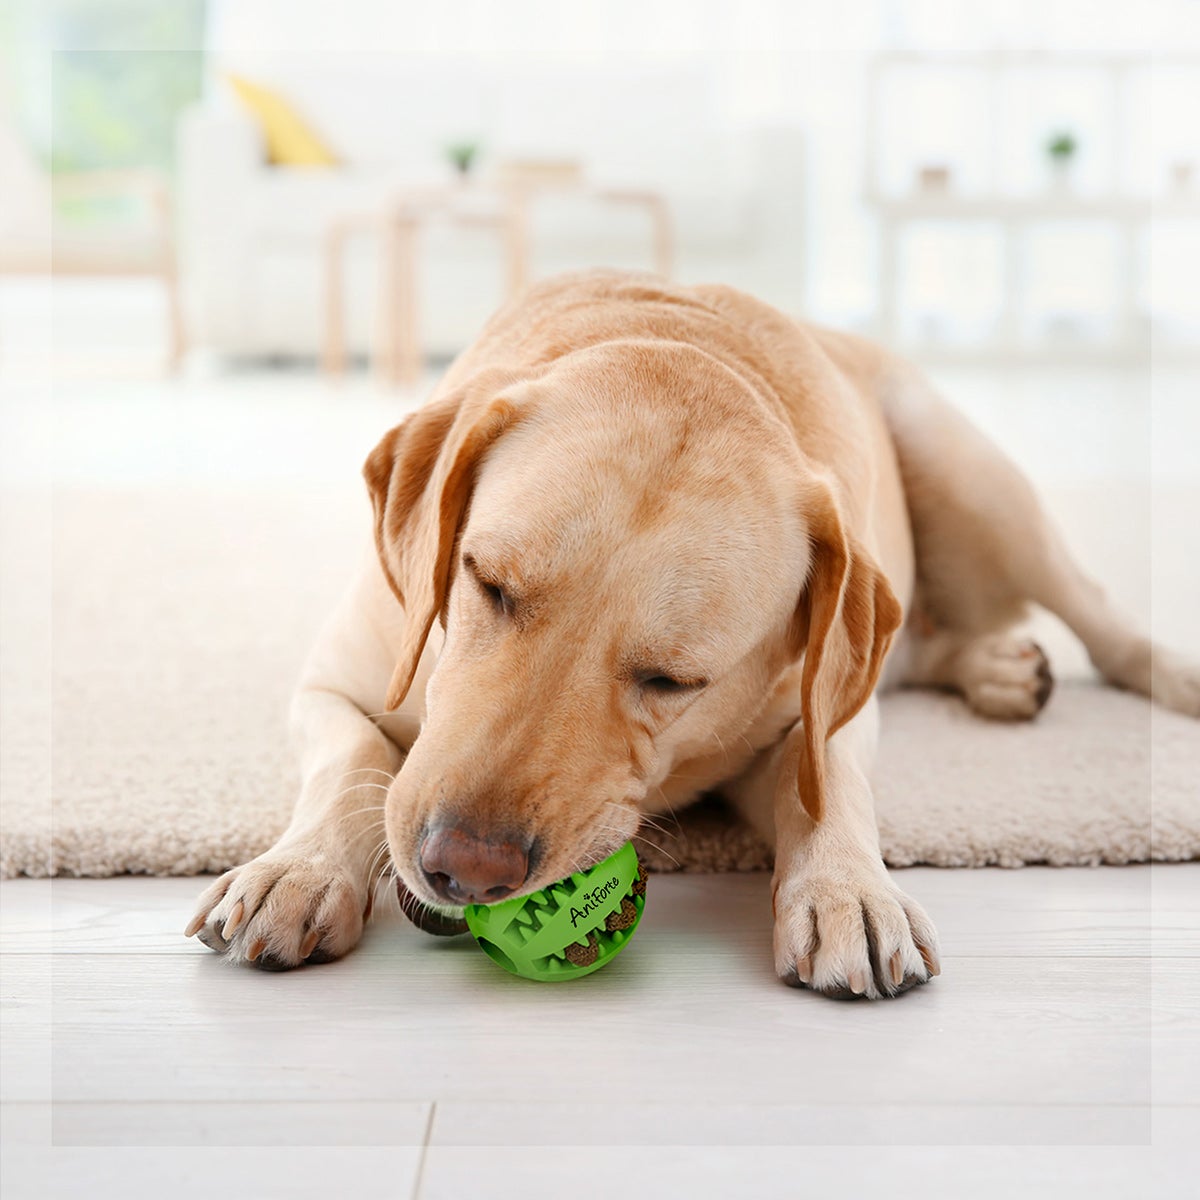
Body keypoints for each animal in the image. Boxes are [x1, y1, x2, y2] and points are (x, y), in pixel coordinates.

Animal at [187, 270, 1200, 993]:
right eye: (489, 585)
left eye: (673, 681)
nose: (462, 870)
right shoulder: (334, 682)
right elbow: (353, 758)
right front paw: (296, 870)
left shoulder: (814, 715)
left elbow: (826, 784)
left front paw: (848, 889)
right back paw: (994, 667)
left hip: (972, 480)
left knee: (1091, 612)